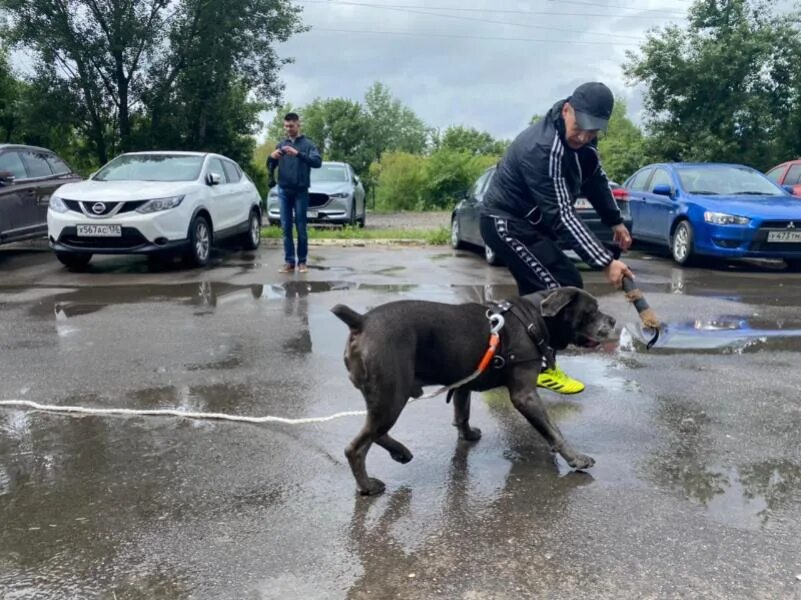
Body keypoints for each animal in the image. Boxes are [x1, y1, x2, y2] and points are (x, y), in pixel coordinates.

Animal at [328, 288, 616, 494]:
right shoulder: (525, 396)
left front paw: (466, 435)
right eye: (591, 311)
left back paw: (400, 452)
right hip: (392, 397)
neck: (533, 319)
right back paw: (367, 486)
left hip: (386, 399)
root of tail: (361, 321)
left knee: (375, 431)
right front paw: (576, 459)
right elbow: (554, 431)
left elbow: (462, 412)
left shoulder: (463, 382)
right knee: (357, 446)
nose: (613, 319)